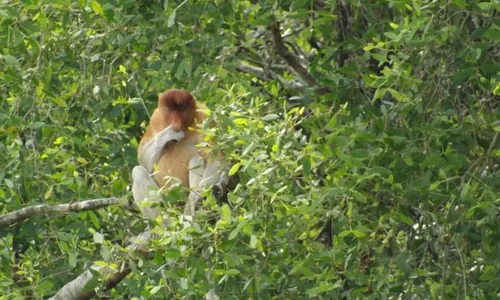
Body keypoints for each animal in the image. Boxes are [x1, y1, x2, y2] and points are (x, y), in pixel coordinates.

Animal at [132, 88, 222, 224]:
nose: (176, 123)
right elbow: (142, 158)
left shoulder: (205, 118)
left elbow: (216, 160)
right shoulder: (156, 118)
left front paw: (193, 201)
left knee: (196, 160)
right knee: (138, 172)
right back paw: (166, 221)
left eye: (181, 110)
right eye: (171, 110)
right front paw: (169, 134)